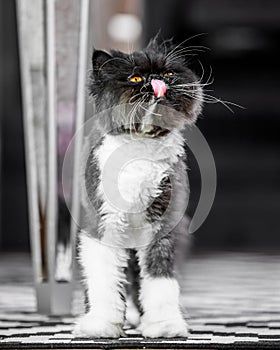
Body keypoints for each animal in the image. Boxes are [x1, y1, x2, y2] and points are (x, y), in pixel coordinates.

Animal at [75, 37, 203, 338]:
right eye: (134, 78)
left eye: (168, 73)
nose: (156, 81)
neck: (141, 144)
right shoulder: (102, 223)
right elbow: (104, 278)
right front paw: (101, 324)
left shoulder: (163, 224)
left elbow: (160, 280)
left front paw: (164, 325)